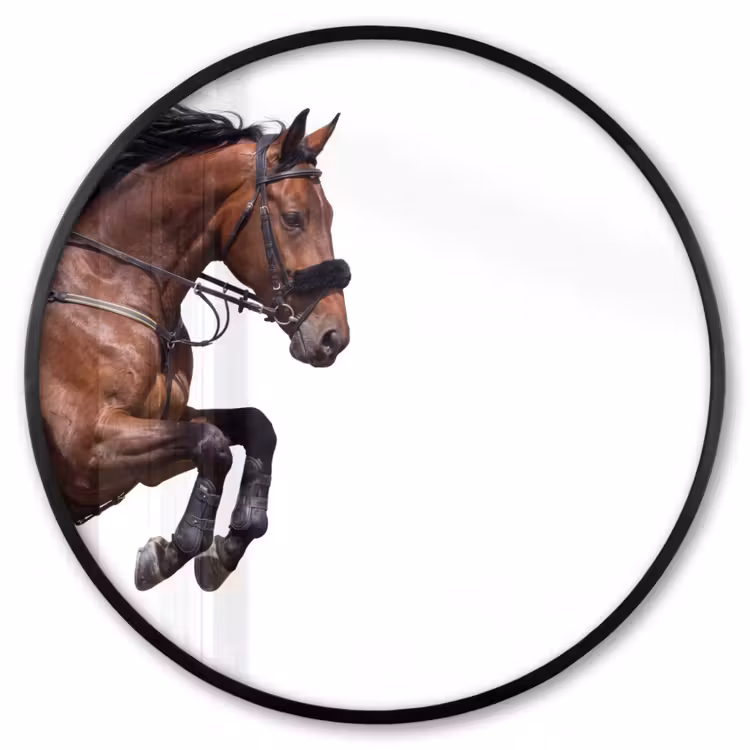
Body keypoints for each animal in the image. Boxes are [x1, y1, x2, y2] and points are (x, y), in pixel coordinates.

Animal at [39, 105, 351, 592]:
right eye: (293, 218)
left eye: (331, 215)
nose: (333, 336)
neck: (116, 280)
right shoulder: (87, 448)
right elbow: (214, 443)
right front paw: (173, 551)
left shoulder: (152, 439)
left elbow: (253, 427)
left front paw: (228, 545)